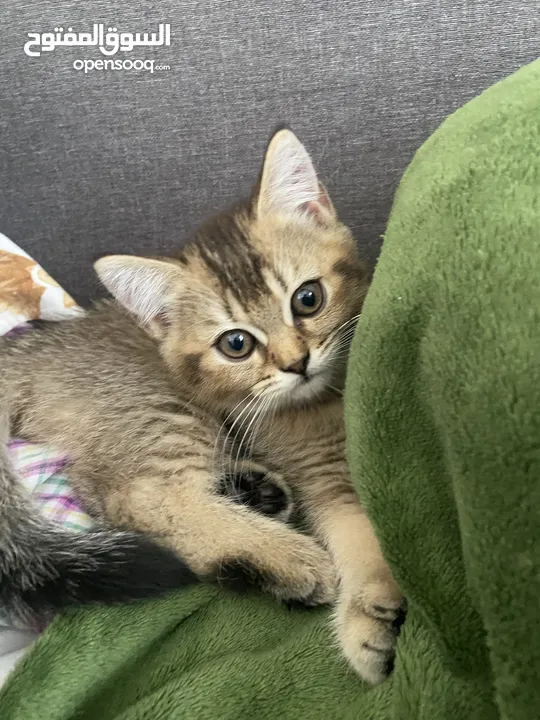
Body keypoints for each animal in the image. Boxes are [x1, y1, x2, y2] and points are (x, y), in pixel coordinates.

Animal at [0, 129, 402, 688]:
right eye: (236, 344)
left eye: (308, 298)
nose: (296, 362)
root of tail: (31, 346)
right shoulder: (321, 472)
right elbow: (359, 533)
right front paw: (372, 611)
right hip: (162, 411)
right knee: (133, 496)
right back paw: (285, 559)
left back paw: (257, 492)